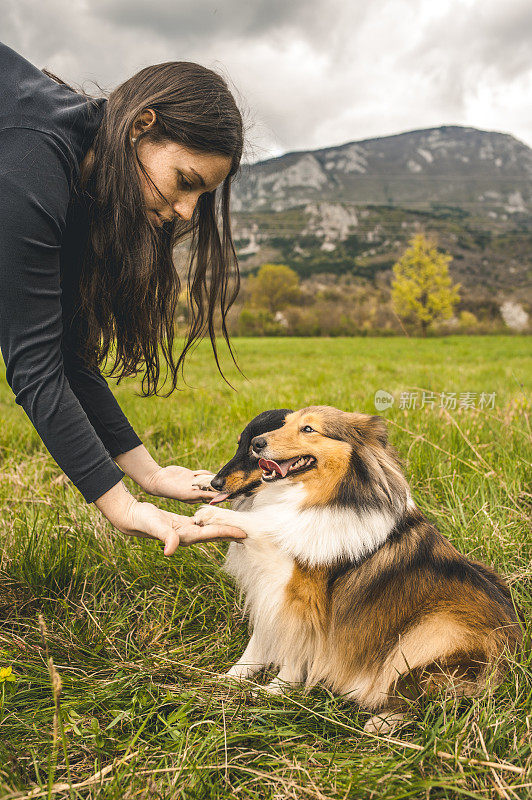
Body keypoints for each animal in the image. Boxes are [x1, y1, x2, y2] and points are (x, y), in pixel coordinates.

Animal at [193, 406, 520, 732]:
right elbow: (260, 640)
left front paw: (271, 692)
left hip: (430, 633)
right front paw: (230, 680)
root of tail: (515, 658)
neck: (324, 496)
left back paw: (382, 722)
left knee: (432, 699)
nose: (258, 443)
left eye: (308, 429)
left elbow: (294, 648)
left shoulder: (301, 596)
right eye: (284, 425)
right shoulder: (270, 586)